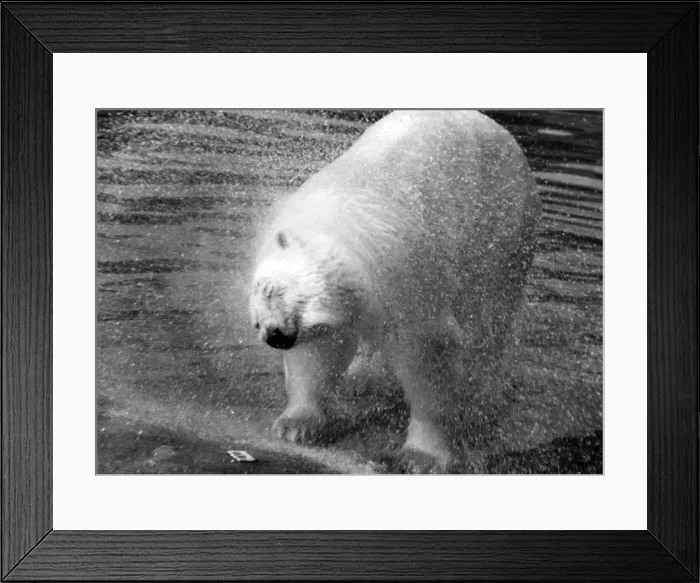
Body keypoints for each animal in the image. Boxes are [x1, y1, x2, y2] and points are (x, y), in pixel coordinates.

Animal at [248, 110, 541, 473]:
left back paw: (482, 396)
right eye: (263, 295)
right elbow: (317, 354)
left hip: (502, 229)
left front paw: (423, 455)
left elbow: (428, 358)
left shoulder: (411, 279)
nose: (274, 335)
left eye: (274, 290)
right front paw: (297, 424)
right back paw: (361, 379)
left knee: (492, 317)